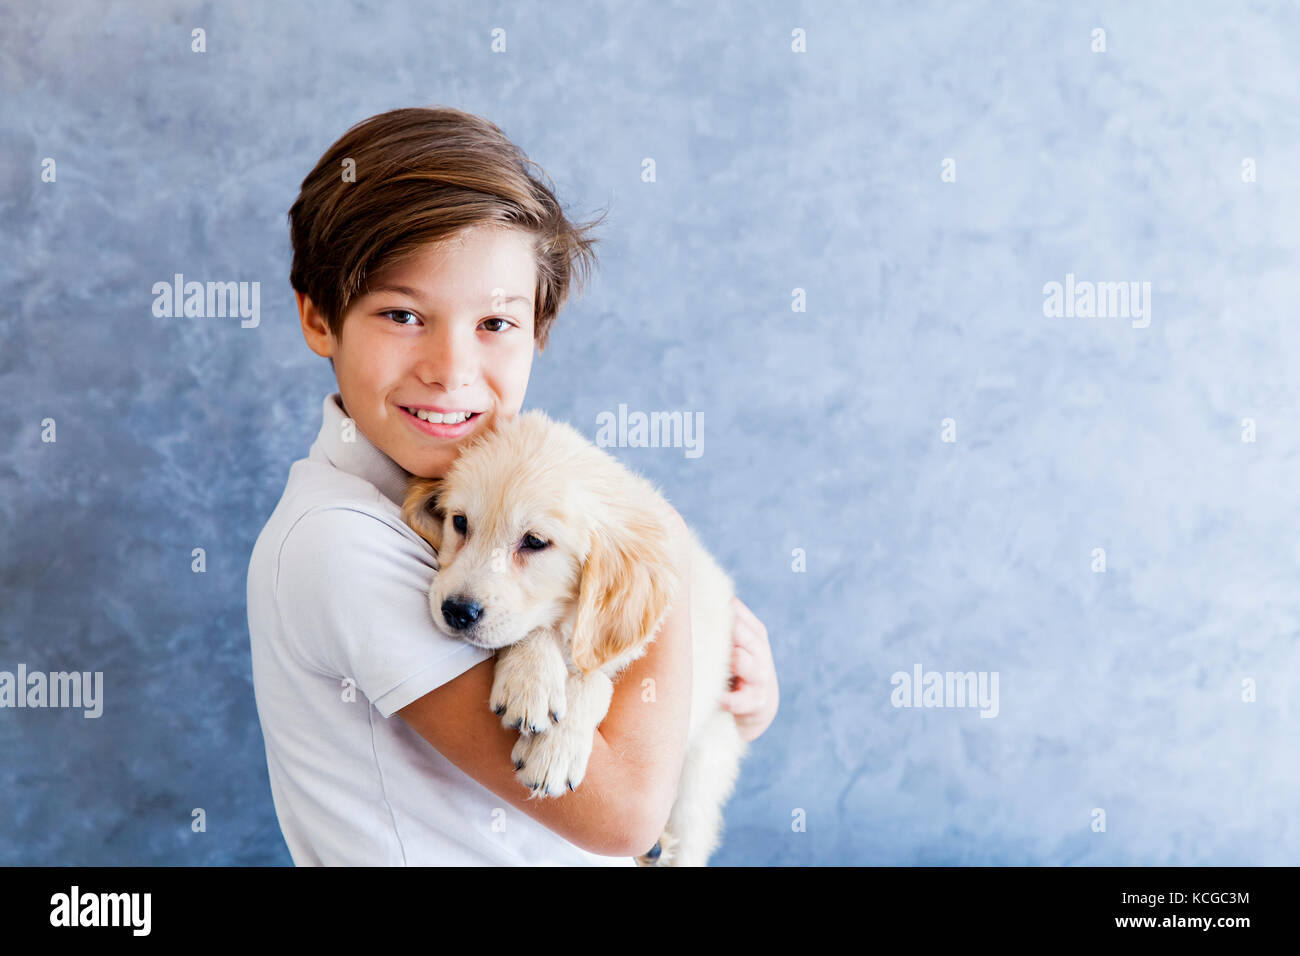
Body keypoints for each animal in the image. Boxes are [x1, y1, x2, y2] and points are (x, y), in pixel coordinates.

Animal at [403, 411, 754, 868]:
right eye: (459, 521)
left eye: (535, 542)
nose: (458, 611)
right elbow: (539, 630)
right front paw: (531, 681)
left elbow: (595, 678)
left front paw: (556, 750)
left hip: (703, 767)